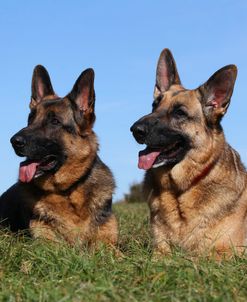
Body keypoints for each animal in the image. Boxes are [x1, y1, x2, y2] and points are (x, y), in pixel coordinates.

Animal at [0, 65, 117, 245]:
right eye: (30, 119)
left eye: (54, 121)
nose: (14, 141)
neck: (68, 191)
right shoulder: (46, 244)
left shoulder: (110, 245)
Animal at [131, 49, 247, 258]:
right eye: (154, 105)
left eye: (179, 113)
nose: (135, 130)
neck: (178, 191)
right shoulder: (159, 249)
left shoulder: (226, 252)